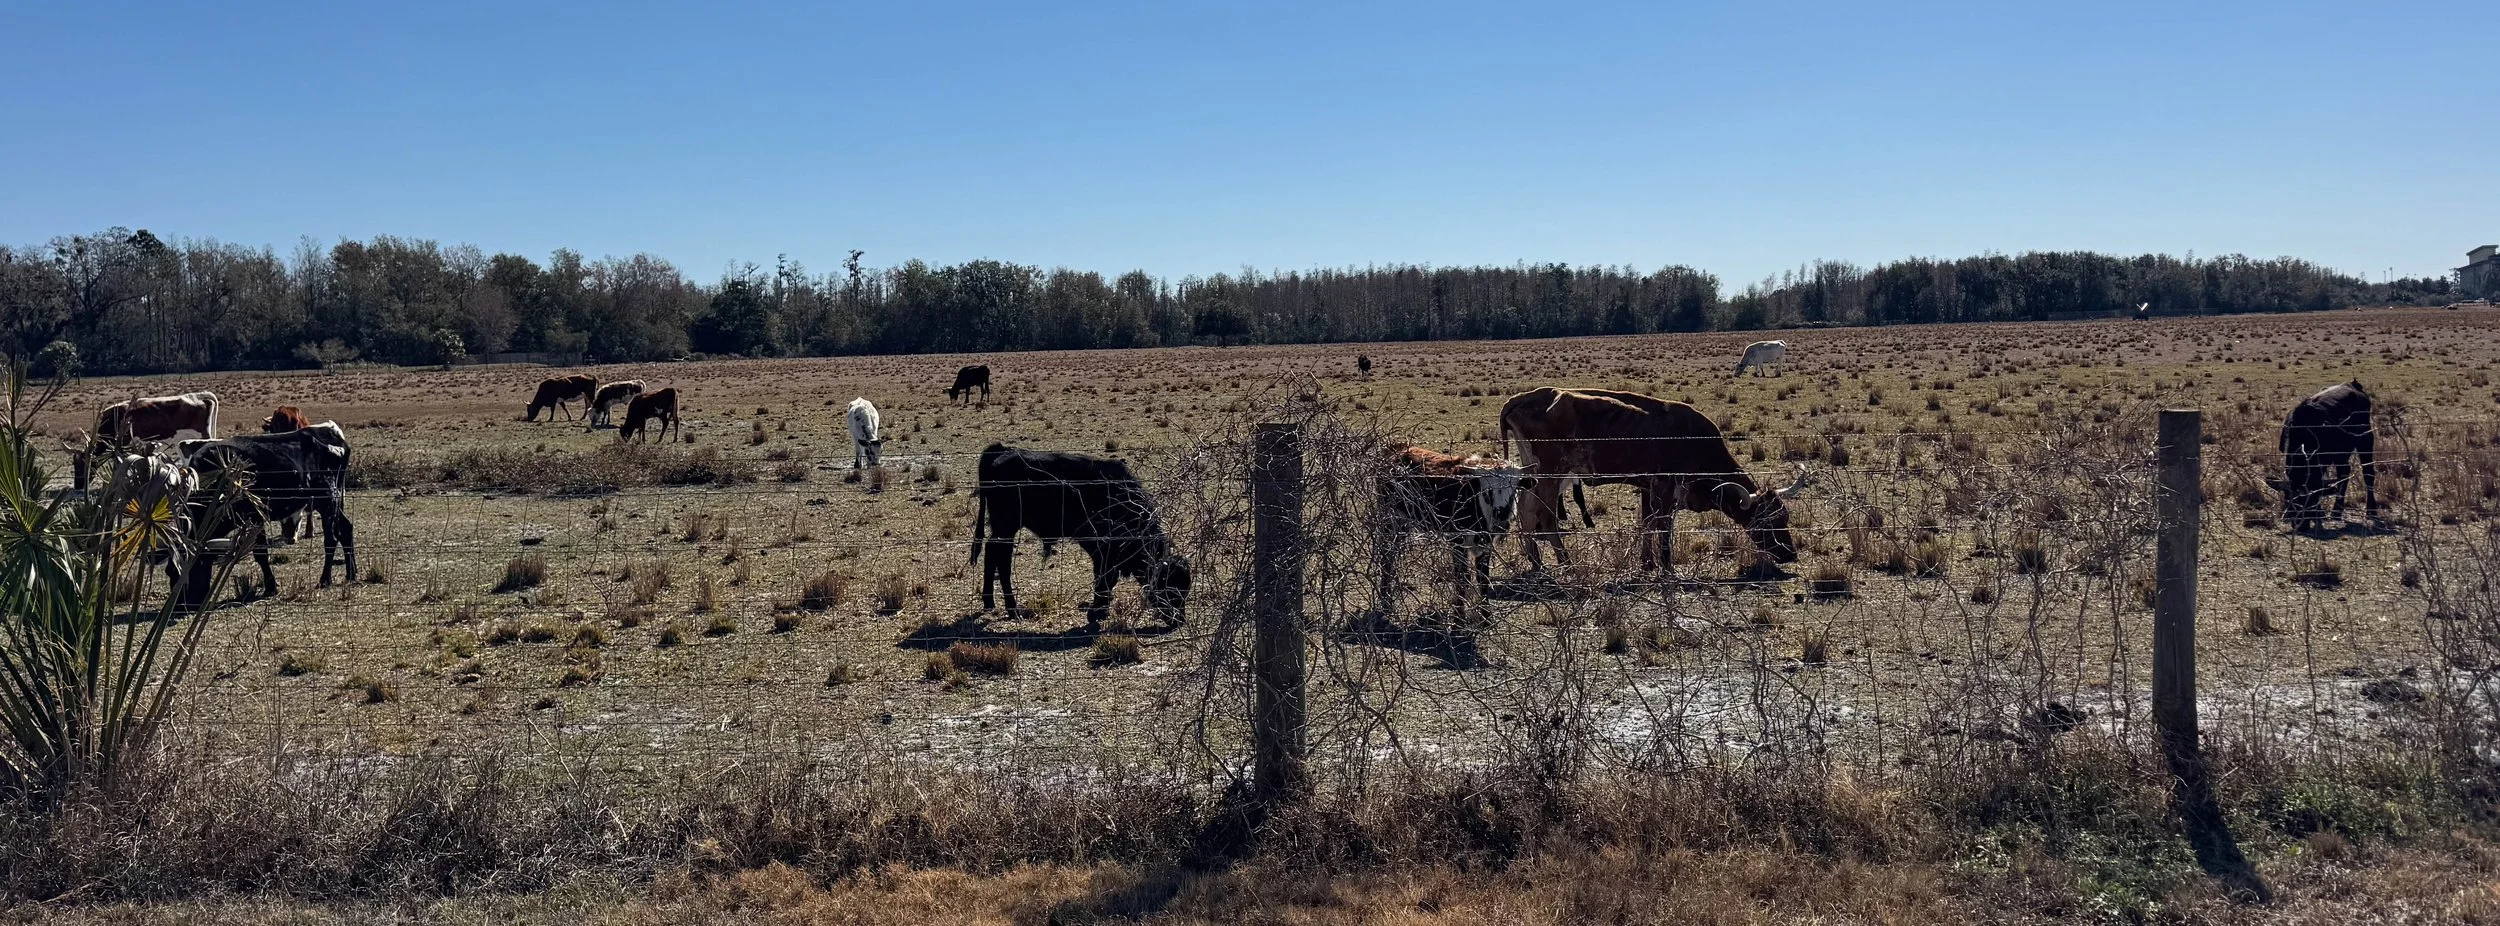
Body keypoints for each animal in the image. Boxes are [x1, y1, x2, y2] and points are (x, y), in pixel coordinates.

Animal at [174, 430, 357, 609]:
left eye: (190, 568)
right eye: (171, 570)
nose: (180, 604)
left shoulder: (255, 516)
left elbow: (261, 553)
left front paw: (271, 587)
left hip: (327, 500)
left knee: (331, 538)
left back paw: (325, 579)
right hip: (333, 502)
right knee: (346, 529)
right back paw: (351, 573)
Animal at [968, 444, 1191, 628]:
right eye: (1170, 587)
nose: (1179, 620)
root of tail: (1002, 450)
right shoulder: (1103, 551)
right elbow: (1105, 579)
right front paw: (1097, 612)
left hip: (1002, 529)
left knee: (991, 552)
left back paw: (989, 601)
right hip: (1006, 528)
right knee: (1002, 560)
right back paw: (1013, 609)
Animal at [1374, 443, 1526, 616]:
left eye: (1514, 489)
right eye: (1487, 492)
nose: (1501, 514)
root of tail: (1395, 449)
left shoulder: (1486, 544)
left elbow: (1483, 578)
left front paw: (1486, 614)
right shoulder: (1457, 541)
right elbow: (1461, 578)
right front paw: (1459, 616)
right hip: (1390, 521)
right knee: (1386, 558)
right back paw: (1386, 604)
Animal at [1500, 387, 1811, 577]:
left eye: (1784, 516)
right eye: (1765, 520)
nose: (1790, 554)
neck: (1695, 441)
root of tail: (1524, 397)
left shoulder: (1647, 487)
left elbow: (1647, 524)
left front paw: (1647, 563)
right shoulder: (1664, 487)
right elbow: (1663, 528)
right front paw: (1666, 566)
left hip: (1538, 476)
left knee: (1526, 511)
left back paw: (1536, 561)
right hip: (1551, 476)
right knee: (1545, 517)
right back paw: (1566, 563)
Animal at [2268, 381, 2378, 530]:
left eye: (2310, 501)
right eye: (2290, 499)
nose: (2300, 525)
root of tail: (2353, 385)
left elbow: (2319, 485)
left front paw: (2318, 513)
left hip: (2365, 439)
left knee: (2368, 473)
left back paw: (2371, 510)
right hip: (2341, 453)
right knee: (2344, 473)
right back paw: (2336, 511)